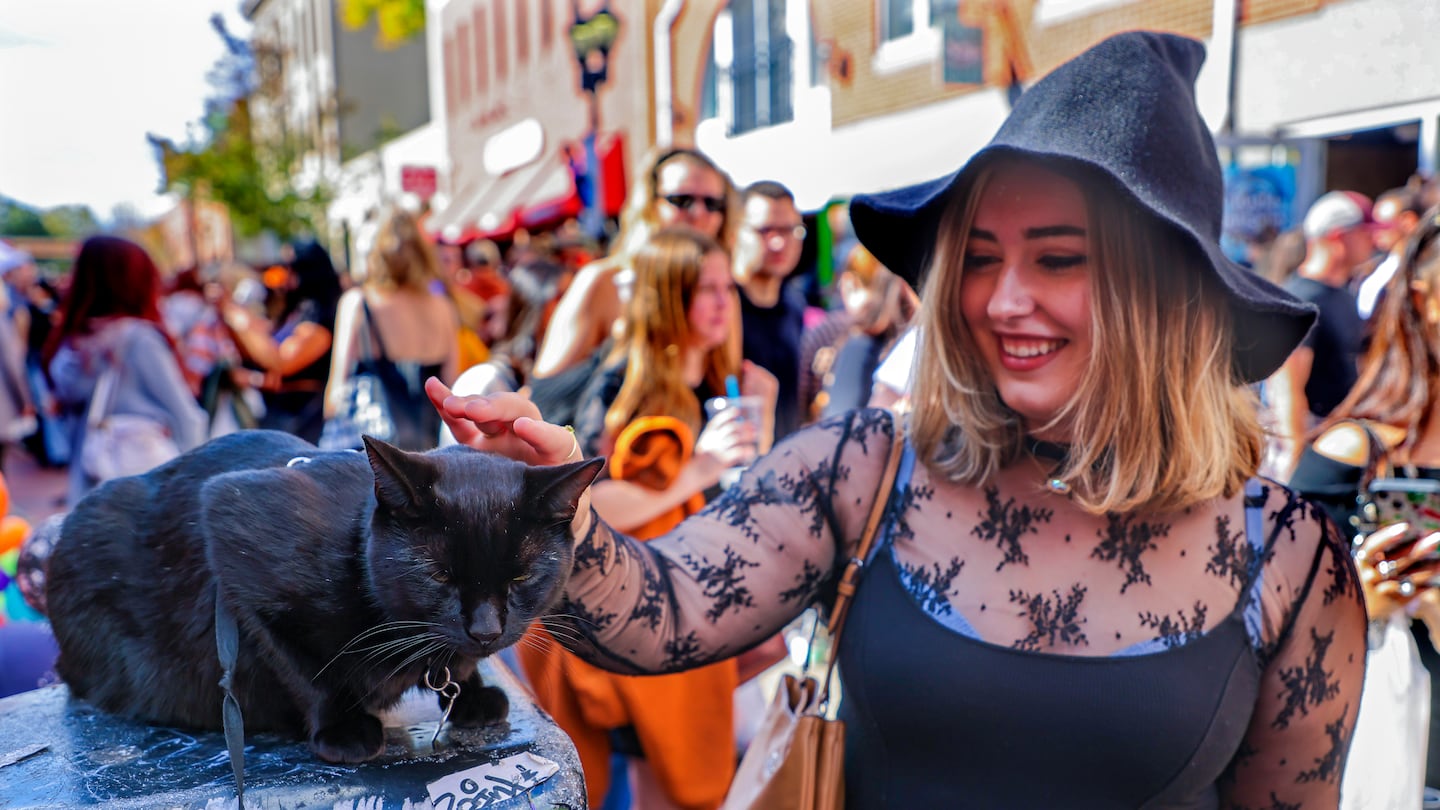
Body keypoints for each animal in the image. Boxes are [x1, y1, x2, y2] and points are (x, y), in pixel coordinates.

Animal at [42, 429, 599, 760]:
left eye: (521, 577)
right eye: (438, 575)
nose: (485, 629)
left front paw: (471, 691)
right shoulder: (227, 533)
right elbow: (304, 671)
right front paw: (344, 727)